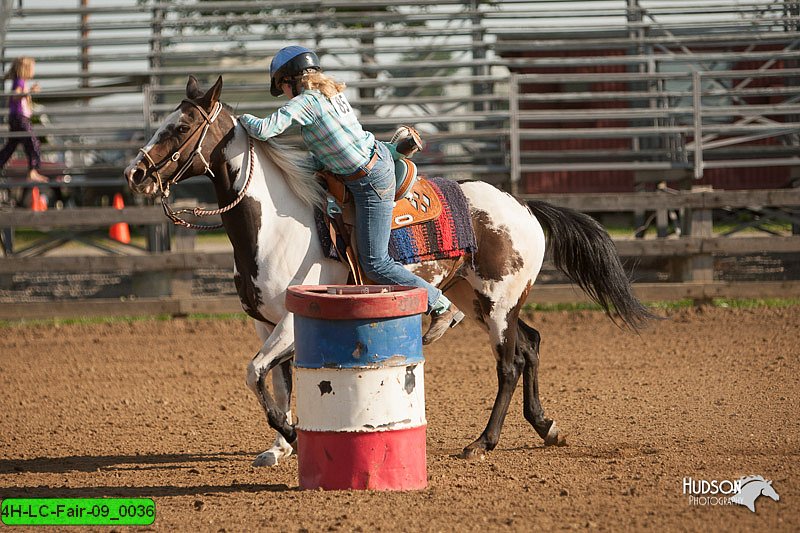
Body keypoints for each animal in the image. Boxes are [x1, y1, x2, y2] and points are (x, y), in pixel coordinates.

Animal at [123, 76, 648, 466]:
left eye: (181, 125)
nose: (136, 173)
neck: (274, 225)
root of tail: (523, 206)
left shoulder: (292, 319)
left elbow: (255, 373)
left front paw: (290, 432)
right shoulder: (264, 322)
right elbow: (277, 378)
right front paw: (279, 446)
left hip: (499, 304)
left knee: (510, 363)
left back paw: (482, 443)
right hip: (479, 299)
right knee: (532, 345)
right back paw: (547, 427)